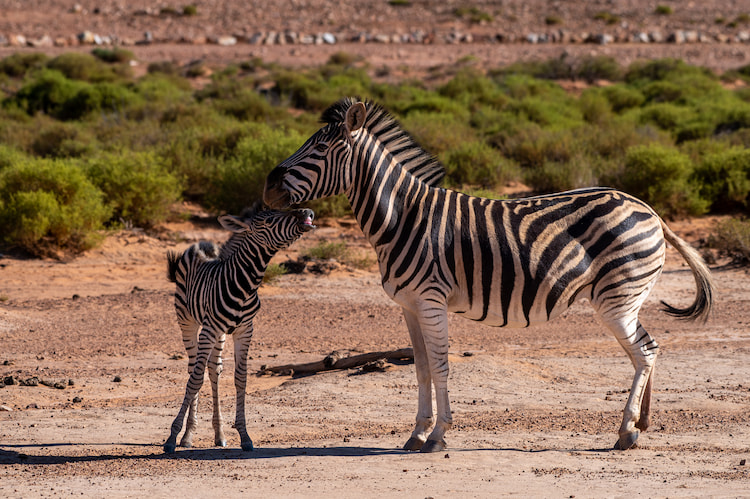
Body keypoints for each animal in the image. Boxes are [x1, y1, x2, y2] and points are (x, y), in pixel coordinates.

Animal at [163, 206, 315, 454]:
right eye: (269, 221)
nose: (307, 211)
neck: (245, 285)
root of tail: (199, 245)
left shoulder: (245, 330)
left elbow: (240, 378)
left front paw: (244, 436)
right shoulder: (209, 329)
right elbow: (195, 380)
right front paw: (172, 437)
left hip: (220, 334)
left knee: (213, 369)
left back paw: (219, 434)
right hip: (188, 322)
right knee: (193, 368)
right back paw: (187, 436)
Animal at [263, 97, 714, 453]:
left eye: (321, 147)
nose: (267, 185)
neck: (402, 217)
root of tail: (649, 209)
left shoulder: (431, 299)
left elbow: (441, 366)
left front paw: (437, 436)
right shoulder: (409, 305)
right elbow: (420, 369)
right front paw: (416, 433)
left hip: (616, 297)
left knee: (645, 351)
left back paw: (625, 432)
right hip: (626, 297)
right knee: (647, 349)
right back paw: (641, 423)